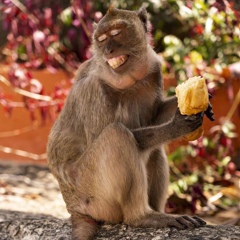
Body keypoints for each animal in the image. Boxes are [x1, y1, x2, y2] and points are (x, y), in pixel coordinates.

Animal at [46, 6, 214, 239]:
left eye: (117, 33)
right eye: (101, 39)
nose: (108, 50)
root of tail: (73, 209)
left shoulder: (154, 70)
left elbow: (154, 116)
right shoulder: (92, 90)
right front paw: (176, 126)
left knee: (154, 150)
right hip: (92, 195)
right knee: (117, 135)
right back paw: (143, 217)